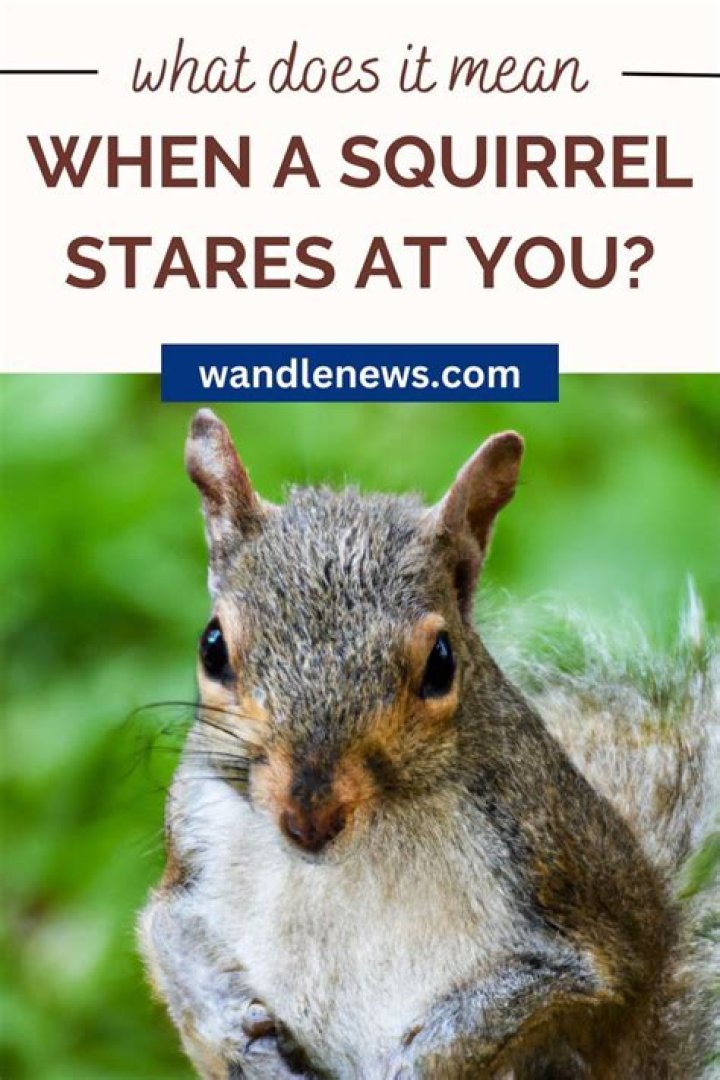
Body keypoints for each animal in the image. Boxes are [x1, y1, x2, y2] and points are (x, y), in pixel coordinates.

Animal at [138, 409, 717, 1079]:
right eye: (213, 648)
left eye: (441, 664)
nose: (309, 817)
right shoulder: (193, 837)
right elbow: (171, 937)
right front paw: (240, 1036)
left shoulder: (558, 884)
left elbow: (554, 986)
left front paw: (412, 1063)